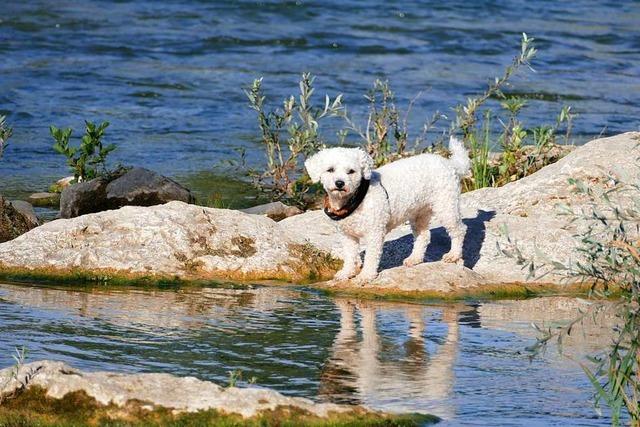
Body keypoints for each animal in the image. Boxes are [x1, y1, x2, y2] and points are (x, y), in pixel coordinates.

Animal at [304, 138, 470, 284]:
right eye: (330, 170)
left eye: (351, 171)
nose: (340, 183)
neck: (355, 199)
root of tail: (450, 164)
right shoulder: (347, 236)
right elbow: (350, 256)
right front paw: (347, 273)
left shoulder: (374, 234)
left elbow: (371, 257)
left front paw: (365, 276)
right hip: (419, 213)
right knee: (424, 236)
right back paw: (415, 259)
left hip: (446, 206)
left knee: (459, 230)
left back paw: (453, 255)